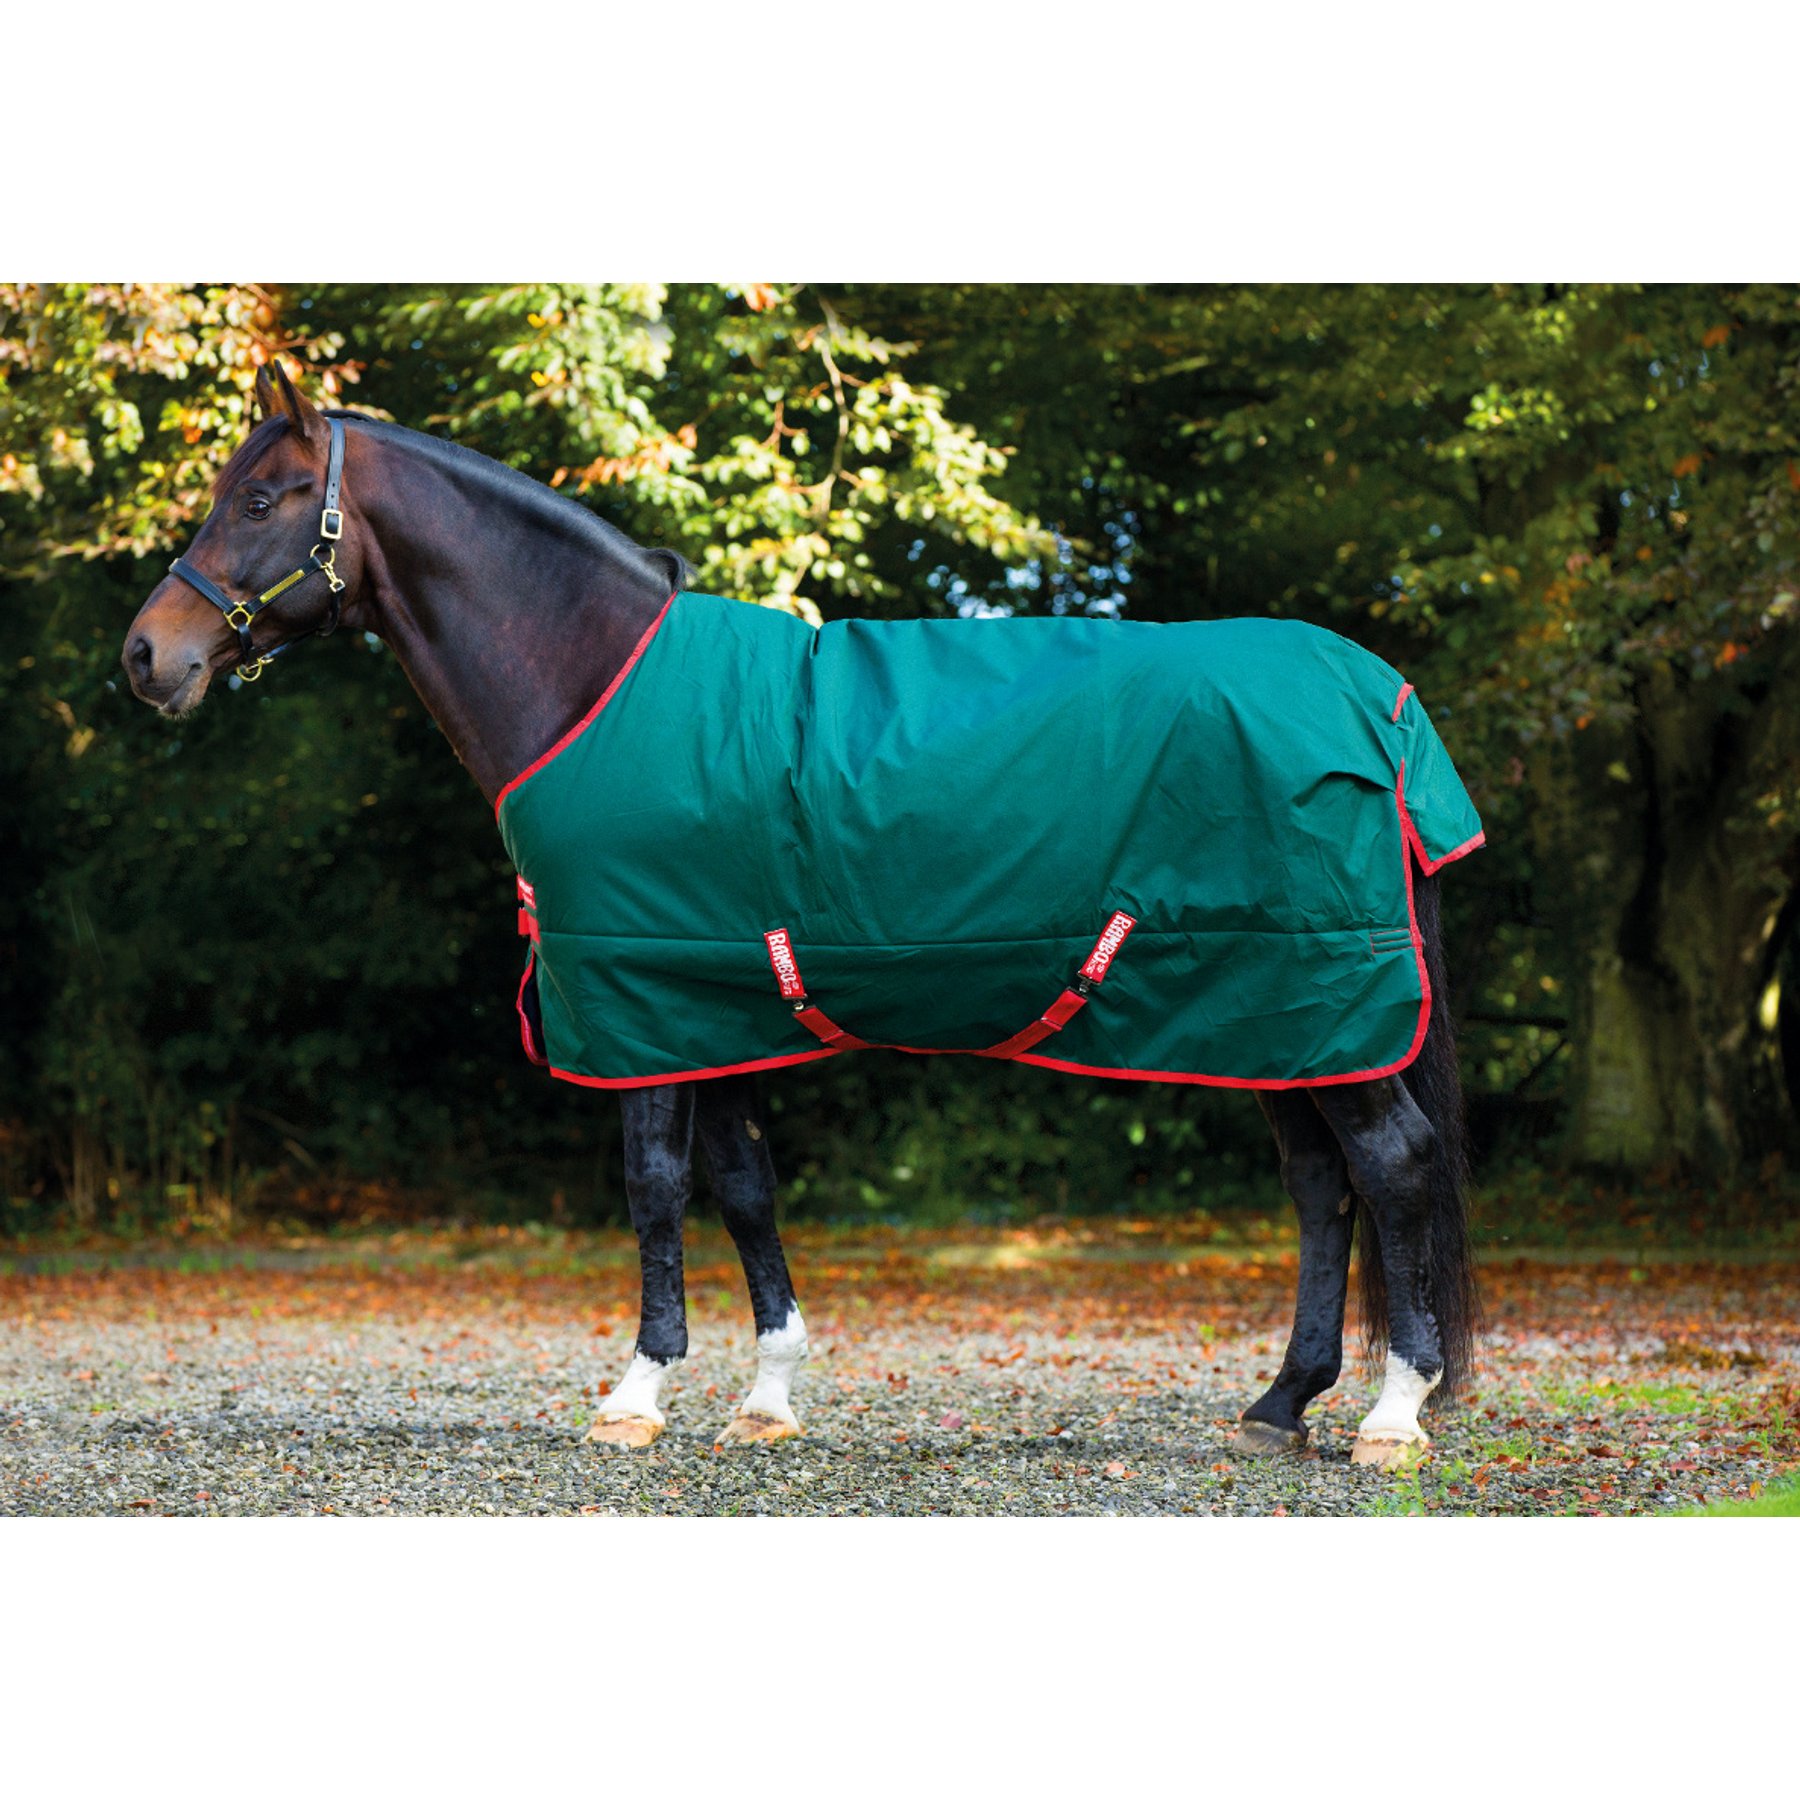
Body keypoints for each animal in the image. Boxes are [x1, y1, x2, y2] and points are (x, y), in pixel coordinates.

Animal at [121, 363, 1480, 1471]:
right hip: (1278, 1016)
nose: (146, 657)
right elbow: (743, 1185)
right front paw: (767, 1396)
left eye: (265, 499)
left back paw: (1392, 1414)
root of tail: (1382, 699)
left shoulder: (640, 996)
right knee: (1322, 1183)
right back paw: (1280, 1403)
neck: (594, 681)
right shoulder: (704, 999)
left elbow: (655, 1183)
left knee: (1396, 1163)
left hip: (1317, 996)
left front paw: (637, 1394)